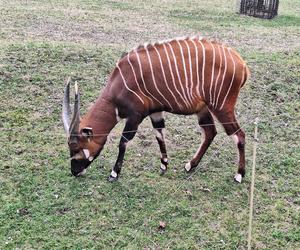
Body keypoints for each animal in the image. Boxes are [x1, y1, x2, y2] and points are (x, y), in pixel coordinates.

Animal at [62, 36, 251, 183]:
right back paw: (190, 165)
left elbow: (123, 141)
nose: (74, 171)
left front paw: (114, 173)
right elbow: (159, 135)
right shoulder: (155, 112)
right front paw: (164, 165)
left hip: (221, 107)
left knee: (239, 135)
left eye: (76, 147)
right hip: (204, 109)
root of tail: (242, 64)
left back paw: (239, 175)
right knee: (210, 133)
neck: (119, 83)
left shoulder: (136, 115)